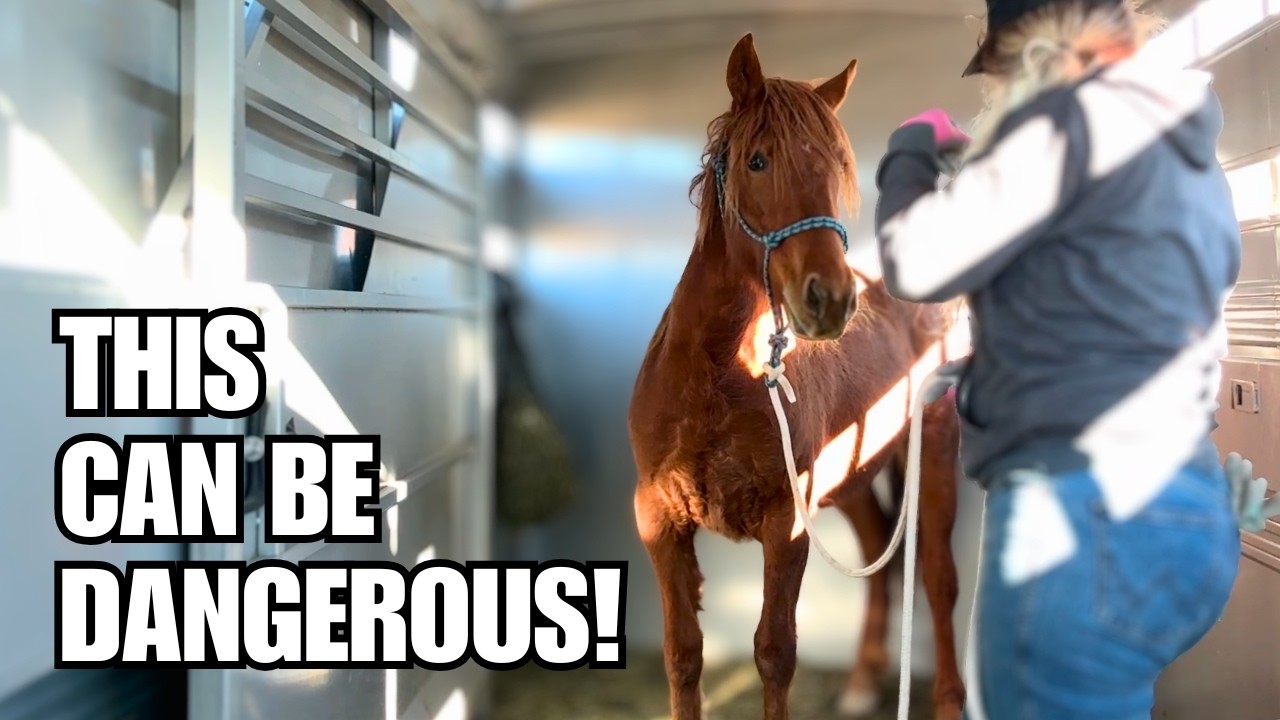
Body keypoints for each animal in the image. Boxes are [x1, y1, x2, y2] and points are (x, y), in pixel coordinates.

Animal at [627, 33, 967, 720]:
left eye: (837, 166)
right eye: (757, 161)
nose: (831, 300)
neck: (716, 377)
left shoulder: (785, 527)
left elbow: (774, 652)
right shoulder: (658, 521)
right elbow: (683, 655)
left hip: (935, 452)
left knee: (938, 577)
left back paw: (947, 701)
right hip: (854, 475)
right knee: (880, 551)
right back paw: (862, 682)